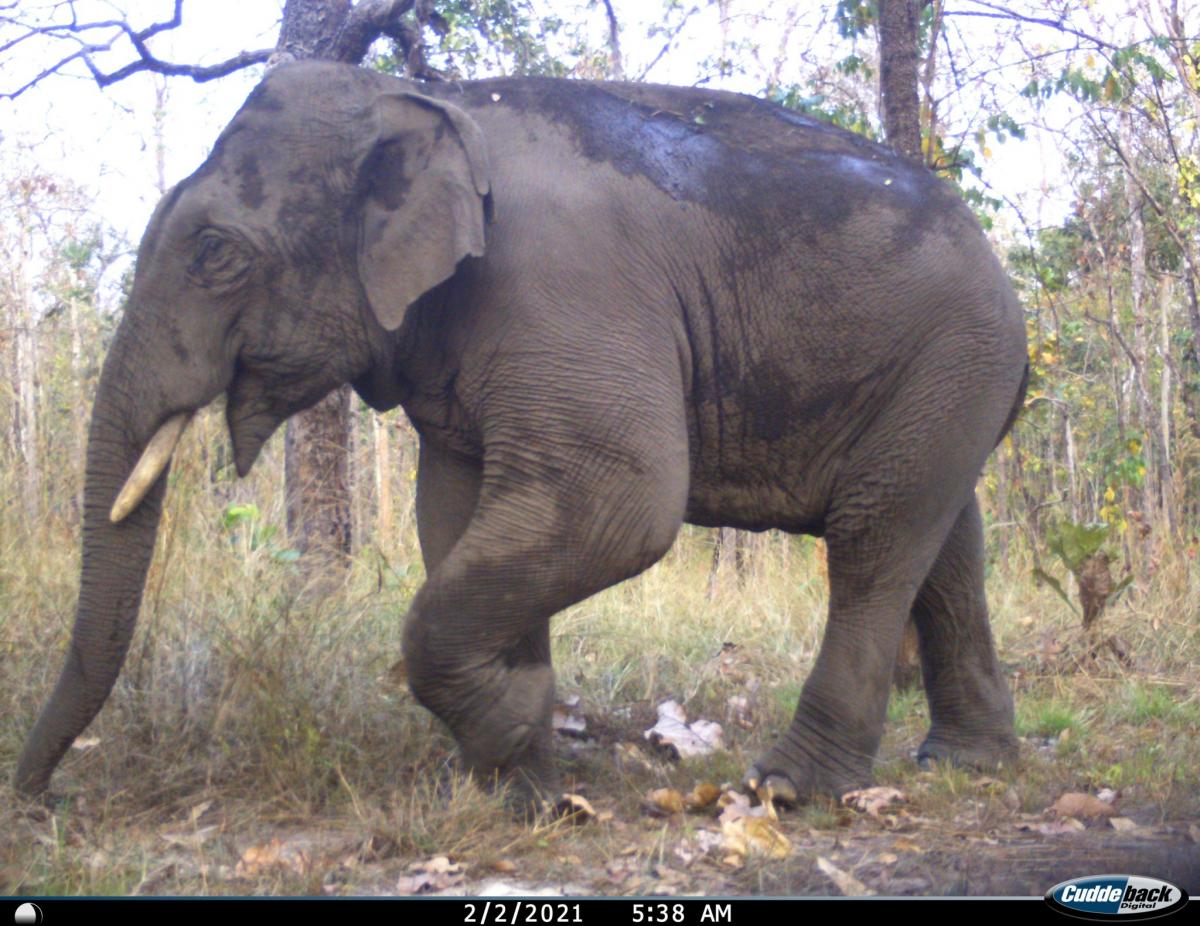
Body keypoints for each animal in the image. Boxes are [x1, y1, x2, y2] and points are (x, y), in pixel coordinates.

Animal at [15, 60, 1027, 808]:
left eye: (215, 252)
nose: (44, 797)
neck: (438, 104)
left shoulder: (566, 288)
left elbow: (620, 501)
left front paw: (510, 739)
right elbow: (458, 514)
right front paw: (522, 774)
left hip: (955, 352)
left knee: (873, 538)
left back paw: (787, 789)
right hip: (945, 381)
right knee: (946, 539)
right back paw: (965, 763)